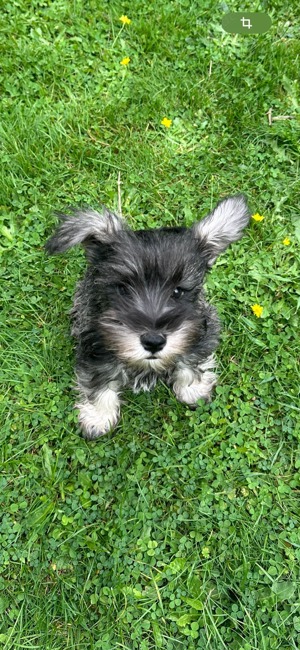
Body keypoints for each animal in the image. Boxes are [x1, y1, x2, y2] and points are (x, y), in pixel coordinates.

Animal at [45, 192, 250, 436]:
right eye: (123, 289)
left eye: (178, 291)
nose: (153, 341)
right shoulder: (97, 346)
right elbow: (100, 379)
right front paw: (98, 416)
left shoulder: (202, 330)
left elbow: (190, 360)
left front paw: (192, 388)